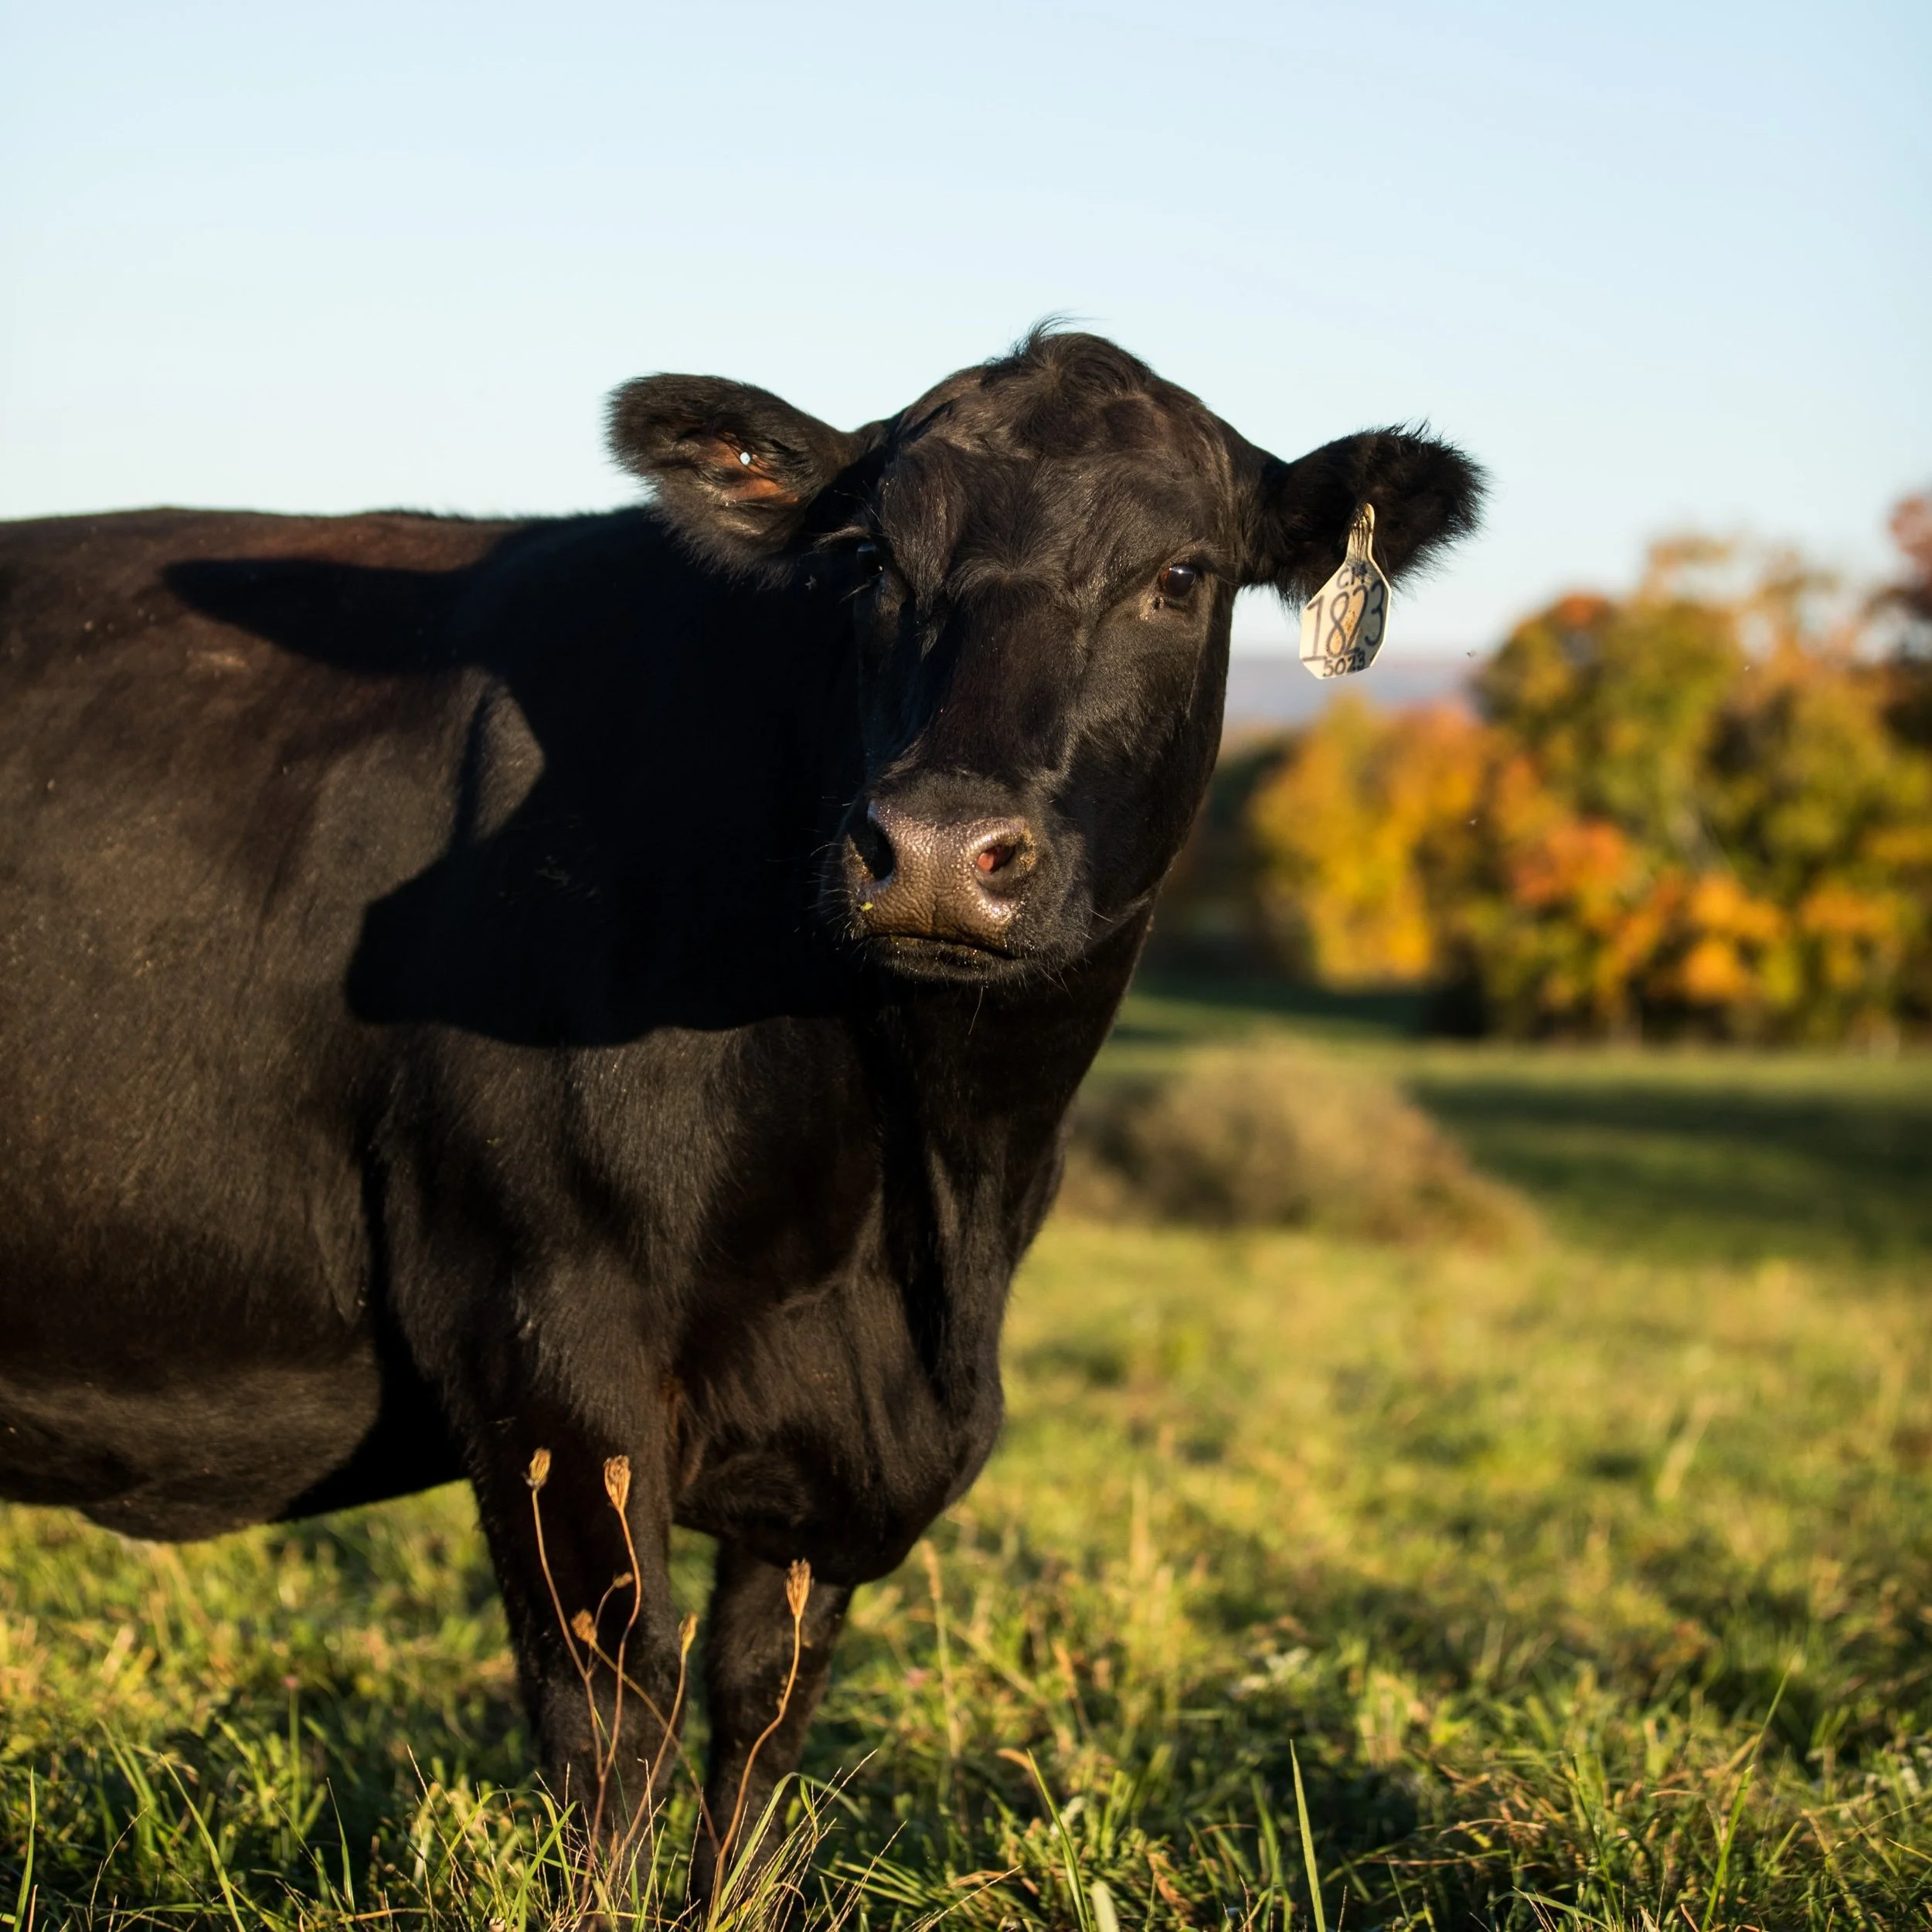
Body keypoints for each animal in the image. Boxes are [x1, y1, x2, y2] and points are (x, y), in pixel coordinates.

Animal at [0, 328, 1480, 1878]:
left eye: (1179, 576)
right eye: (874, 560)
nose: (937, 850)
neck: (932, 1211)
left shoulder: (821, 1481)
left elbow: (760, 1722)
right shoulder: (545, 1330)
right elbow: (612, 1720)